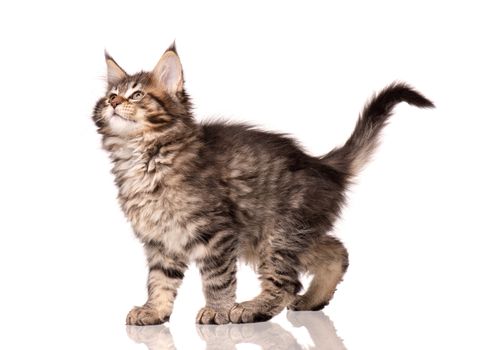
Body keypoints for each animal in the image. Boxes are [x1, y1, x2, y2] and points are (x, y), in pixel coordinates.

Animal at [91, 43, 432, 326]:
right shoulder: (160, 240)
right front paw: (154, 311)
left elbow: (217, 278)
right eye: (110, 95)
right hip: (276, 238)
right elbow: (160, 280)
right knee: (336, 251)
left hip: (277, 234)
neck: (143, 156)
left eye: (137, 95)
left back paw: (253, 308)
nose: (114, 102)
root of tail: (321, 164)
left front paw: (217, 310)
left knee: (287, 280)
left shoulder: (216, 232)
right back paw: (313, 299)